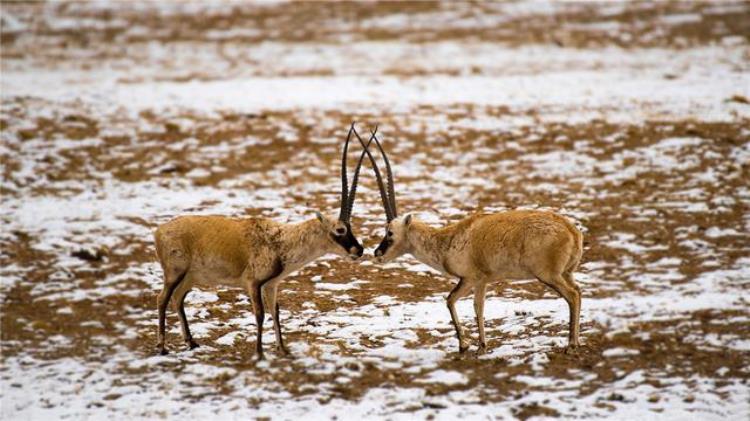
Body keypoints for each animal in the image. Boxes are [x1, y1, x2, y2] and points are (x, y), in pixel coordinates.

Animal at [153, 122, 376, 358]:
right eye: (340, 229)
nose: (359, 250)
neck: (280, 240)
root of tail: (159, 231)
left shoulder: (271, 285)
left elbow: (275, 312)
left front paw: (283, 349)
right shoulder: (253, 283)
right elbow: (260, 314)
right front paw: (259, 353)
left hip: (190, 278)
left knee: (178, 298)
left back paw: (191, 342)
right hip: (175, 273)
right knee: (162, 299)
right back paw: (162, 347)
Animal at [360, 130, 588, 352]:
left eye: (390, 232)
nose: (377, 254)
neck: (447, 240)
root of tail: (572, 231)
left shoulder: (469, 278)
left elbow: (451, 300)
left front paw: (464, 345)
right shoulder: (482, 281)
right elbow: (478, 307)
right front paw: (482, 344)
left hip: (549, 275)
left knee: (572, 295)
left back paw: (571, 345)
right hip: (565, 273)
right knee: (578, 291)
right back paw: (575, 341)